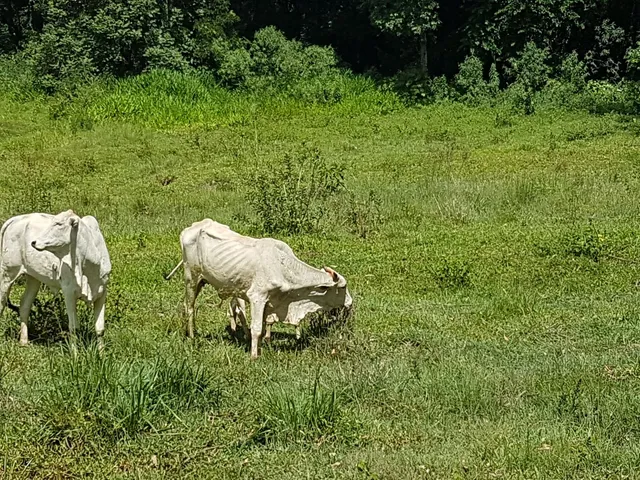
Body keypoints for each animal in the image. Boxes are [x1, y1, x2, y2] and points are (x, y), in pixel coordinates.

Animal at [0, 210, 111, 351]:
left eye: (59, 224)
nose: (34, 242)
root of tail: (16, 219)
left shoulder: (102, 292)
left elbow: (100, 329)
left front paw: (102, 353)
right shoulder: (69, 292)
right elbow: (73, 328)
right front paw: (74, 354)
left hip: (33, 277)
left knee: (24, 304)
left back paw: (24, 341)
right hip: (7, 273)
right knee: (2, 302)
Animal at [165, 219, 352, 359]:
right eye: (343, 287)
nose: (350, 302)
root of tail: (194, 226)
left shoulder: (270, 302)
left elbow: (263, 327)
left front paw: (261, 347)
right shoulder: (257, 297)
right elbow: (256, 328)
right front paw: (254, 356)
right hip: (191, 278)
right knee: (189, 307)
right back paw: (192, 336)